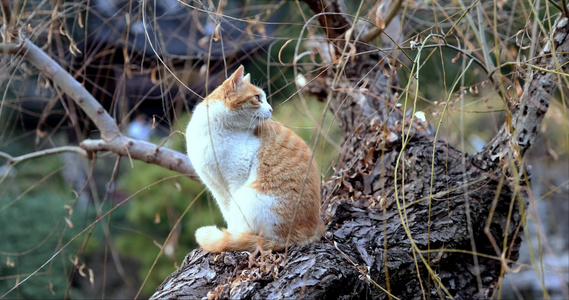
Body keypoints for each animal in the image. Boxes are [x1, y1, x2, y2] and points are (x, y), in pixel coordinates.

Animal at [184, 65, 322, 253]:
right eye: (257, 98)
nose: (271, 109)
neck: (212, 130)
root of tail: (301, 236)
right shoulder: (216, 187)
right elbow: (227, 211)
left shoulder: (235, 180)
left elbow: (232, 217)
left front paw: (230, 234)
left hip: (250, 197)